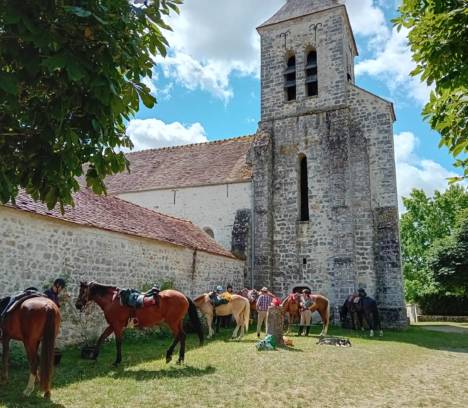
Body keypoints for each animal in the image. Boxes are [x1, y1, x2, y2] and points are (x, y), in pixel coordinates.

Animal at [75, 282, 203, 364]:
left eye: (82, 291)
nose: (77, 305)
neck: (112, 300)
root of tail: (183, 296)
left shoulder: (117, 325)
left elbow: (118, 342)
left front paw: (117, 361)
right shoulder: (112, 325)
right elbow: (101, 338)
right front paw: (94, 355)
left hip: (172, 322)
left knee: (179, 336)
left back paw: (172, 356)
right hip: (177, 322)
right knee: (181, 336)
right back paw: (177, 358)